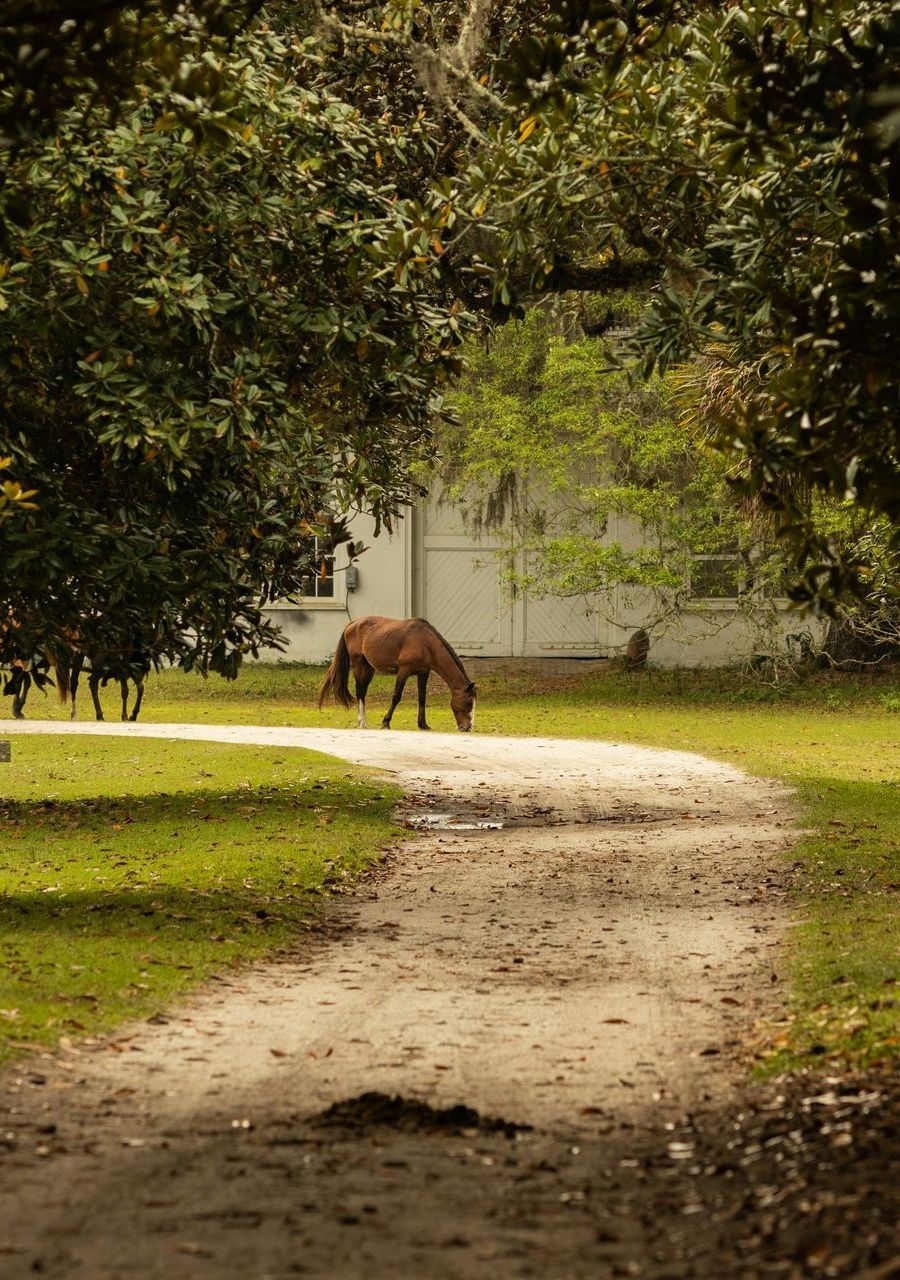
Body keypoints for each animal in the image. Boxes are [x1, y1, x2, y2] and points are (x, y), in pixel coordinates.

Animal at [318, 616, 477, 731]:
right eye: (468, 703)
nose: (467, 727)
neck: (425, 642)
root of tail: (353, 623)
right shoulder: (403, 671)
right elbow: (396, 697)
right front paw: (385, 722)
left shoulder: (423, 673)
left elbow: (422, 698)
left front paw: (423, 724)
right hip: (358, 665)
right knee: (360, 692)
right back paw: (362, 722)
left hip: (369, 668)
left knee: (363, 691)